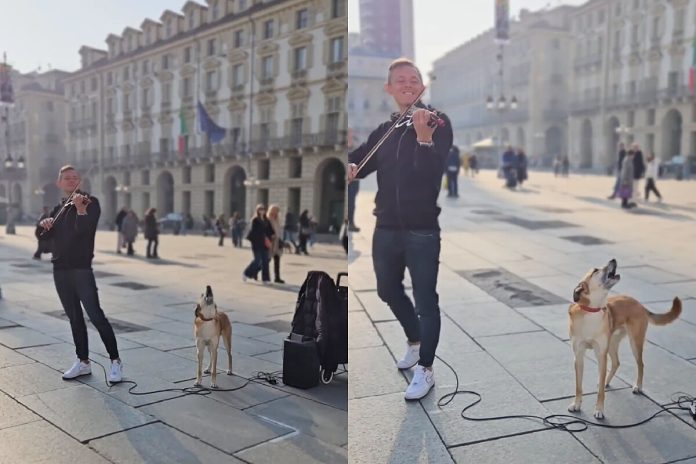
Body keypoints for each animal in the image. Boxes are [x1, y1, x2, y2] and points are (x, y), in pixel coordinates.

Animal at [568, 260, 676, 418]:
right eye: (595, 270)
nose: (613, 260)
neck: (592, 311)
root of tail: (639, 304)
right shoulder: (579, 356)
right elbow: (578, 386)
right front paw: (576, 404)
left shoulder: (601, 355)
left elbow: (600, 392)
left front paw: (599, 409)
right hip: (612, 344)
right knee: (616, 363)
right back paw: (605, 381)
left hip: (635, 342)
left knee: (640, 364)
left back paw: (637, 386)